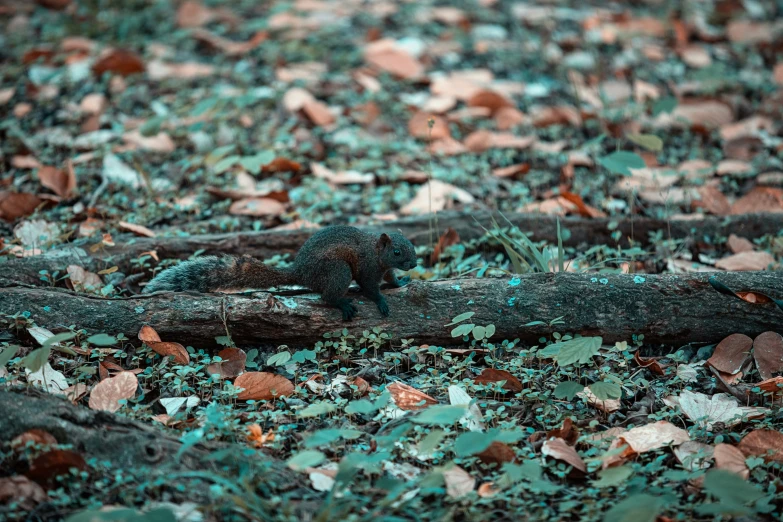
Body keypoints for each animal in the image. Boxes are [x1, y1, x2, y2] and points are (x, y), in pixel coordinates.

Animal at [143, 225, 420, 318]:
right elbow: (369, 288)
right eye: (397, 252)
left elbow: (390, 278)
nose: (414, 264)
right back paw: (342, 303)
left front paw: (400, 282)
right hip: (338, 269)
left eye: (412, 245)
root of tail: (301, 273)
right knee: (326, 296)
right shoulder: (368, 269)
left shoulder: (383, 269)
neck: (376, 253)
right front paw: (381, 301)